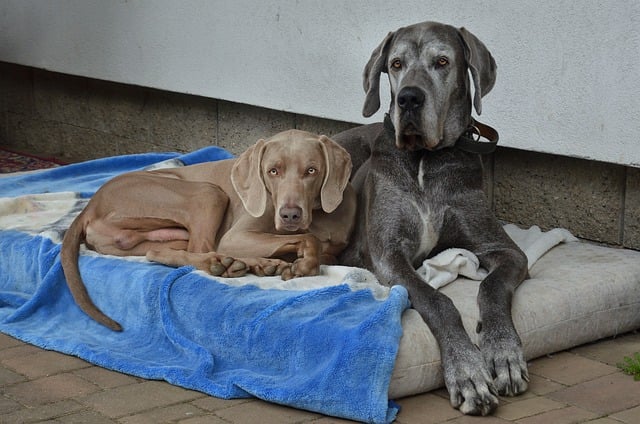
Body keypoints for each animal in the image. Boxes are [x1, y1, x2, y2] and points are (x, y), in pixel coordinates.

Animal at [60, 129, 358, 332]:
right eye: (272, 171)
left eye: (312, 171)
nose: (290, 215)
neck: (317, 216)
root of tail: (90, 206)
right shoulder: (235, 236)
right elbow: (308, 238)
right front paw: (303, 263)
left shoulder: (333, 248)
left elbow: (322, 249)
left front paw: (295, 259)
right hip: (206, 192)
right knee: (206, 249)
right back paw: (235, 264)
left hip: (164, 234)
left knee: (159, 252)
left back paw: (256, 264)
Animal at [332, 21, 528, 416]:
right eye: (395, 64)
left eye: (442, 61)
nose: (409, 98)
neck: (425, 158)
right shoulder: (388, 255)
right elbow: (438, 302)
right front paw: (467, 371)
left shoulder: (503, 249)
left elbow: (492, 287)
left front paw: (504, 352)